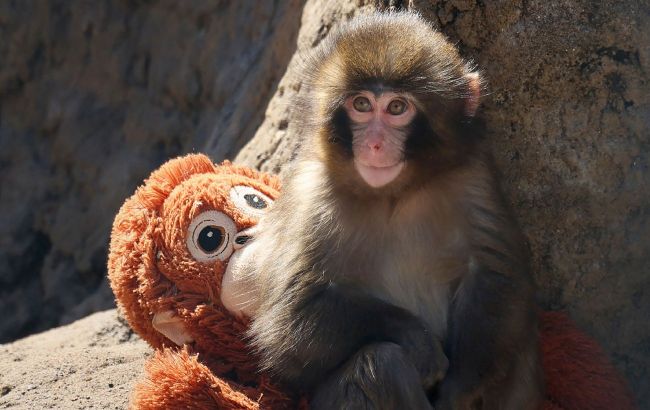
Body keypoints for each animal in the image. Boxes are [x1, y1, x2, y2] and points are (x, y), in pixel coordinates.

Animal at [242, 12, 544, 410]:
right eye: (362, 105)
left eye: (397, 108)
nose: (374, 143)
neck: (394, 195)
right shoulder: (312, 196)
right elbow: (290, 319)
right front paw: (416, 338)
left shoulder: (473, 175)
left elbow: (495, 275)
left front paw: (459, 391)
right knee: (380, 363)